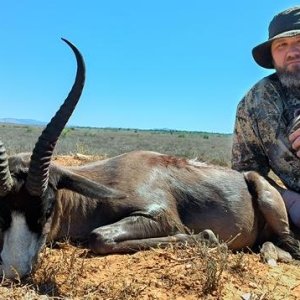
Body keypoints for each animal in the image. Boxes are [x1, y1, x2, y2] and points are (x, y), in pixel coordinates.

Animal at [0, 39, 300, 278]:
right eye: (3, 210)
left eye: (46, 207)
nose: (14, 272)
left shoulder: (159, 215)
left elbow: (98, 237)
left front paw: (207, 236)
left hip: (266, 196)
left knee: (289, 243)